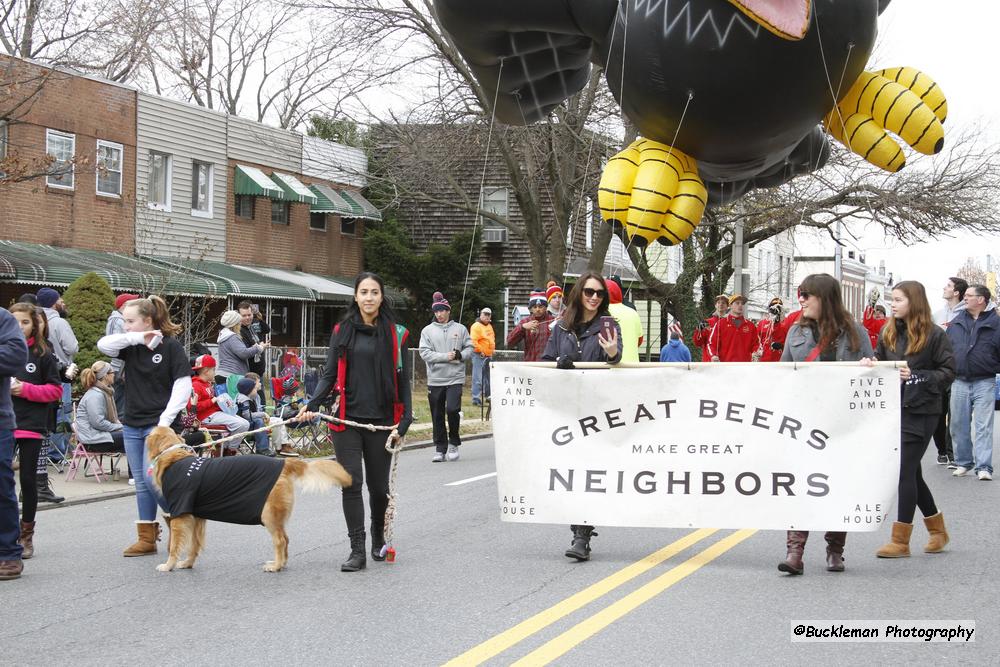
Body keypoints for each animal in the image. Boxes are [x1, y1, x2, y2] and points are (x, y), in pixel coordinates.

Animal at [146, 428, 352, 576]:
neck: (173, 458)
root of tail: (283, 463)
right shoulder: (197, 516)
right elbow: (194, 545)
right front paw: (188, 563)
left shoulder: (180, 515)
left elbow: (175, 545)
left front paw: (168, 565)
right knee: (286, 539)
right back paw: (281, 563)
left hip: (268, 515)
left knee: (280, 540)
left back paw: (276, 566)